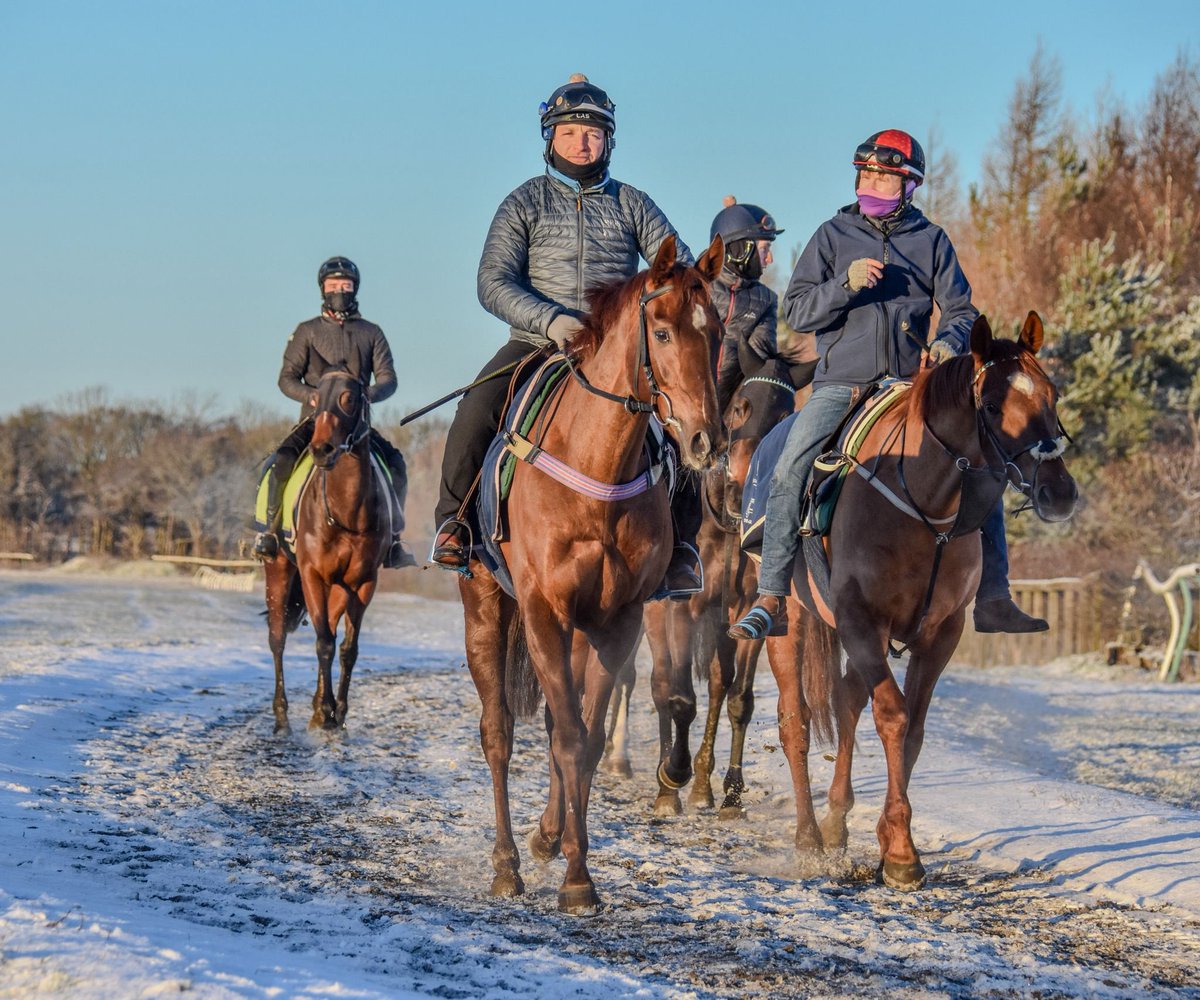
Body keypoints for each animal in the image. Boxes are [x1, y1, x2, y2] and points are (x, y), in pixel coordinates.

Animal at [263, 367, 391, 734]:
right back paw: (282, 716)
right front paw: (328, 710)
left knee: (332, 631)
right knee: (278, 638)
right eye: (316, 398)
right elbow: (323, 644)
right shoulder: (312, 575)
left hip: (339, 588)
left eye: (348, 398)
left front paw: (336, 712)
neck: (346, 510)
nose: (321, 449)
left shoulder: (363, 582)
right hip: (279, 569)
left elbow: (347, 648)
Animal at [459, 233, 725, 914]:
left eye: (715, 331)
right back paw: (506, 864)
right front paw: (572, 875)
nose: (705, 441)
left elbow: (583, 736)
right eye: (661, 331)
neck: (595, 470)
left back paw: (547, 835)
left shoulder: (617, 620)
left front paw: (575, 868)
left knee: (564, 721)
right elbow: (571, 740)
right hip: (487, 607)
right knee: (498, 731)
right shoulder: (543, 611)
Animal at [601, 356, 799, 818]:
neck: (721, 524)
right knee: (633, 676)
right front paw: (669, 782)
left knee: (713, 681)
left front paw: (727, 792)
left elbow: (736, 696)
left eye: (785, 416)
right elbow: (672, 692)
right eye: (741, 407)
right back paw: (618, 758)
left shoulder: (743, 609)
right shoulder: (676, 608)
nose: (744, 486)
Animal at [765, 312, 1077, 889]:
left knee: (847, 699)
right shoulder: (861, 622)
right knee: (795, 720)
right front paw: (902, 854)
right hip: (790, 621)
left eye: (1052, 394)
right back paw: (809, 840)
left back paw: (836, 822)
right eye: (992, 406)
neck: (922, 503)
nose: (1060, 491)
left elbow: (912, 729)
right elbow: (892, 714)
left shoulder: (940, 633)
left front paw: (892, 840)